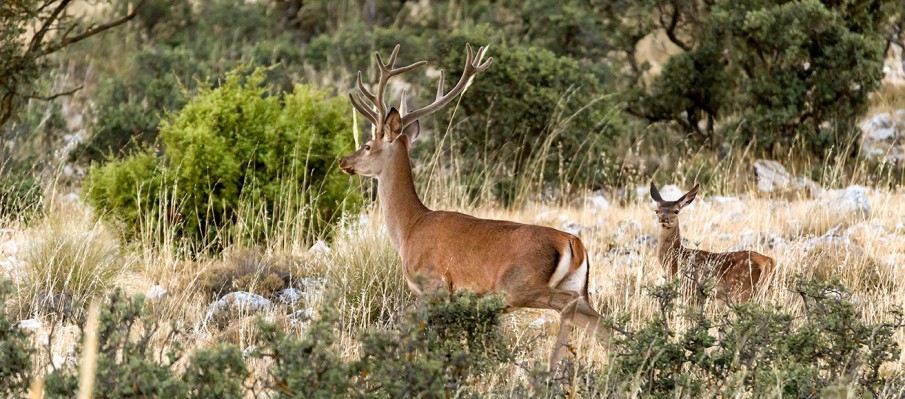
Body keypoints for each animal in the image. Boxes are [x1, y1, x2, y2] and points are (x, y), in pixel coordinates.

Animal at [336, 44, 604, 368]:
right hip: (575, 285)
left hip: (520, 284)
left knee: (568, 308)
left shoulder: (434, 284)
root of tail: (573, 242)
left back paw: (553, 369)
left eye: (366, 146)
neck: (409, 228)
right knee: (599, 321)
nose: (343, 161)